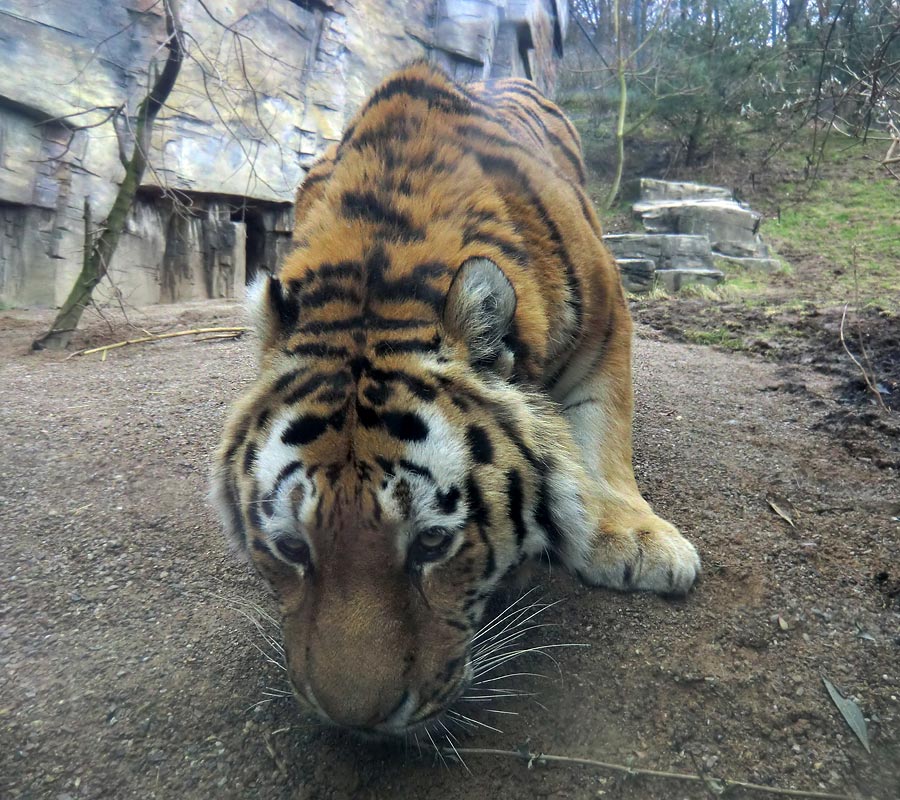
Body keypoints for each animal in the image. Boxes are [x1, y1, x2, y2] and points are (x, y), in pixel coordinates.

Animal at [209, 61, 696, 736]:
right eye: (290, 548)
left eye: (433, 544)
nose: (357, 723)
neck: (380, 262)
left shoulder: (607, 322)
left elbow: (602, 431)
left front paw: (635, 541)